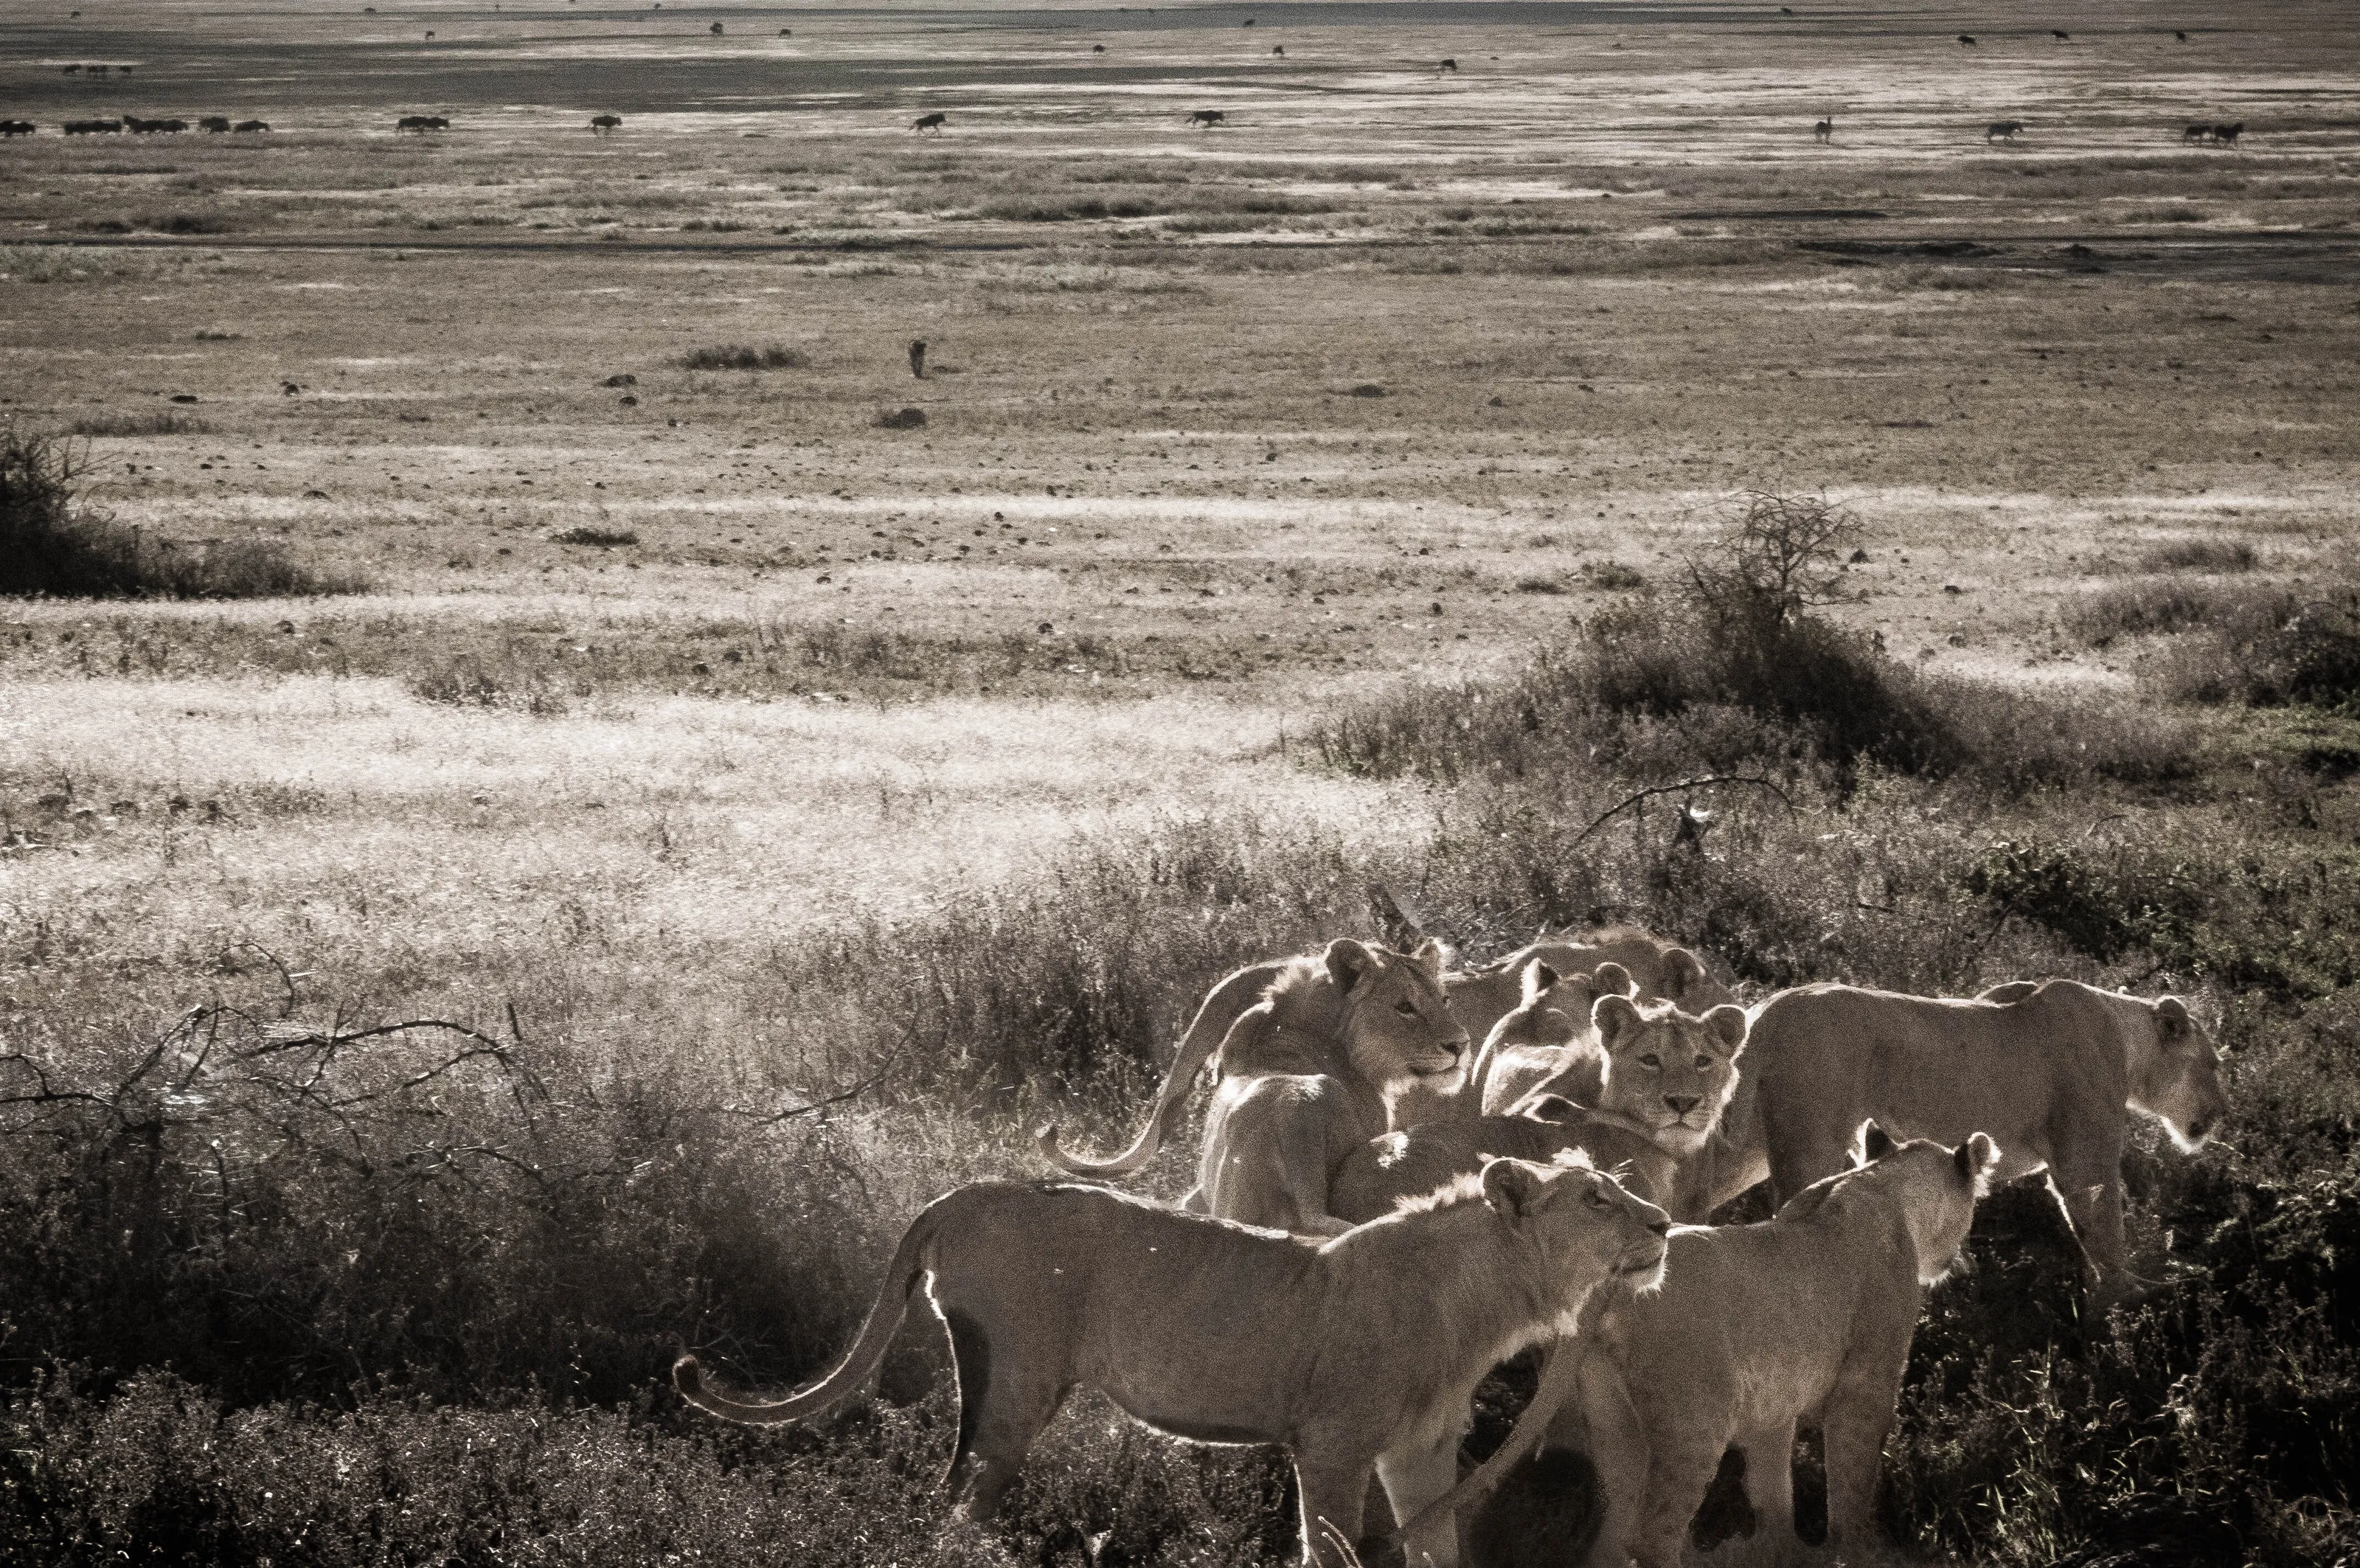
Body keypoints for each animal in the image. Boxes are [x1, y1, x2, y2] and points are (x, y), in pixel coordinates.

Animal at [674, 1162, 1673, 1568]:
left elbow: (1438, 1547)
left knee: (949, 1497)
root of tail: (960, 1193)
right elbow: (1327, 1545)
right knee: (959, 1503)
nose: (1664, 1223)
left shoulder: (1417, 1451)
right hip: (1018, 1377)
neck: (1487, 1296)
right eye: (1596, 1197)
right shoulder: (1332, 1441)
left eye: (1622, 1188)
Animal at [1443, 1122, 2001, 1568]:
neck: (1880, 1184)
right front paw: (1855, 1552)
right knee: (1652, 1538)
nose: (1955, 1261)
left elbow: (1773, 1489)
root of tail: (1610, 1284)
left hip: (1613, 1420)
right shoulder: (1867, 1386)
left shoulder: (1774, 1404)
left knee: (1617, 1528)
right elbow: (1852, 1486)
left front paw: (1783, 1552)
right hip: (1696, 1422)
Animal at [1715, 978, 2227, 1304]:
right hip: (1809, 1141)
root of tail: (1768, 1012)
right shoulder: (2086, 1164)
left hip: (1753, 1147)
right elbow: (2107, 1235)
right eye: (2213, 1064)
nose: (2223, 1112)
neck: (2126, 1037)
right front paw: (2127, 1306)